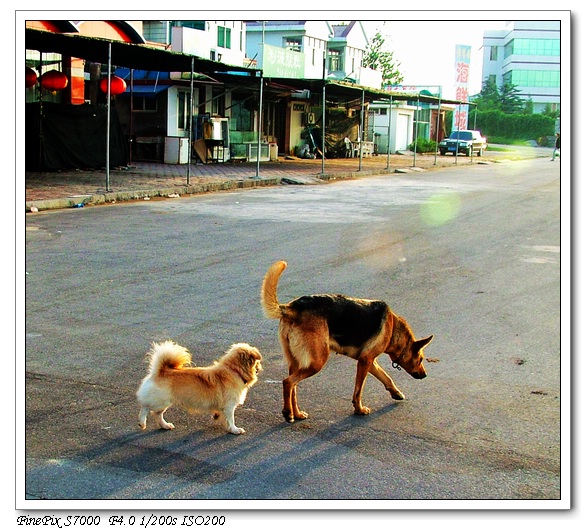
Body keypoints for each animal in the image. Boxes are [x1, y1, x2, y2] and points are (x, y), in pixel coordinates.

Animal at [262, 260, 432, 420]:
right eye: (420, 359)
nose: (424, 375)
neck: (393, 328)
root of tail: (292, 308)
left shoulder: (369, 362)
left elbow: (386, 378)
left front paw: (396, 393)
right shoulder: (365, 361)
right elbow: (358, 390)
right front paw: (359, 409)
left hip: (296, 362)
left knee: (293, 388)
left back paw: (296, 414)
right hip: (317, 362)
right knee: (288, 382)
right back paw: (287, 413)